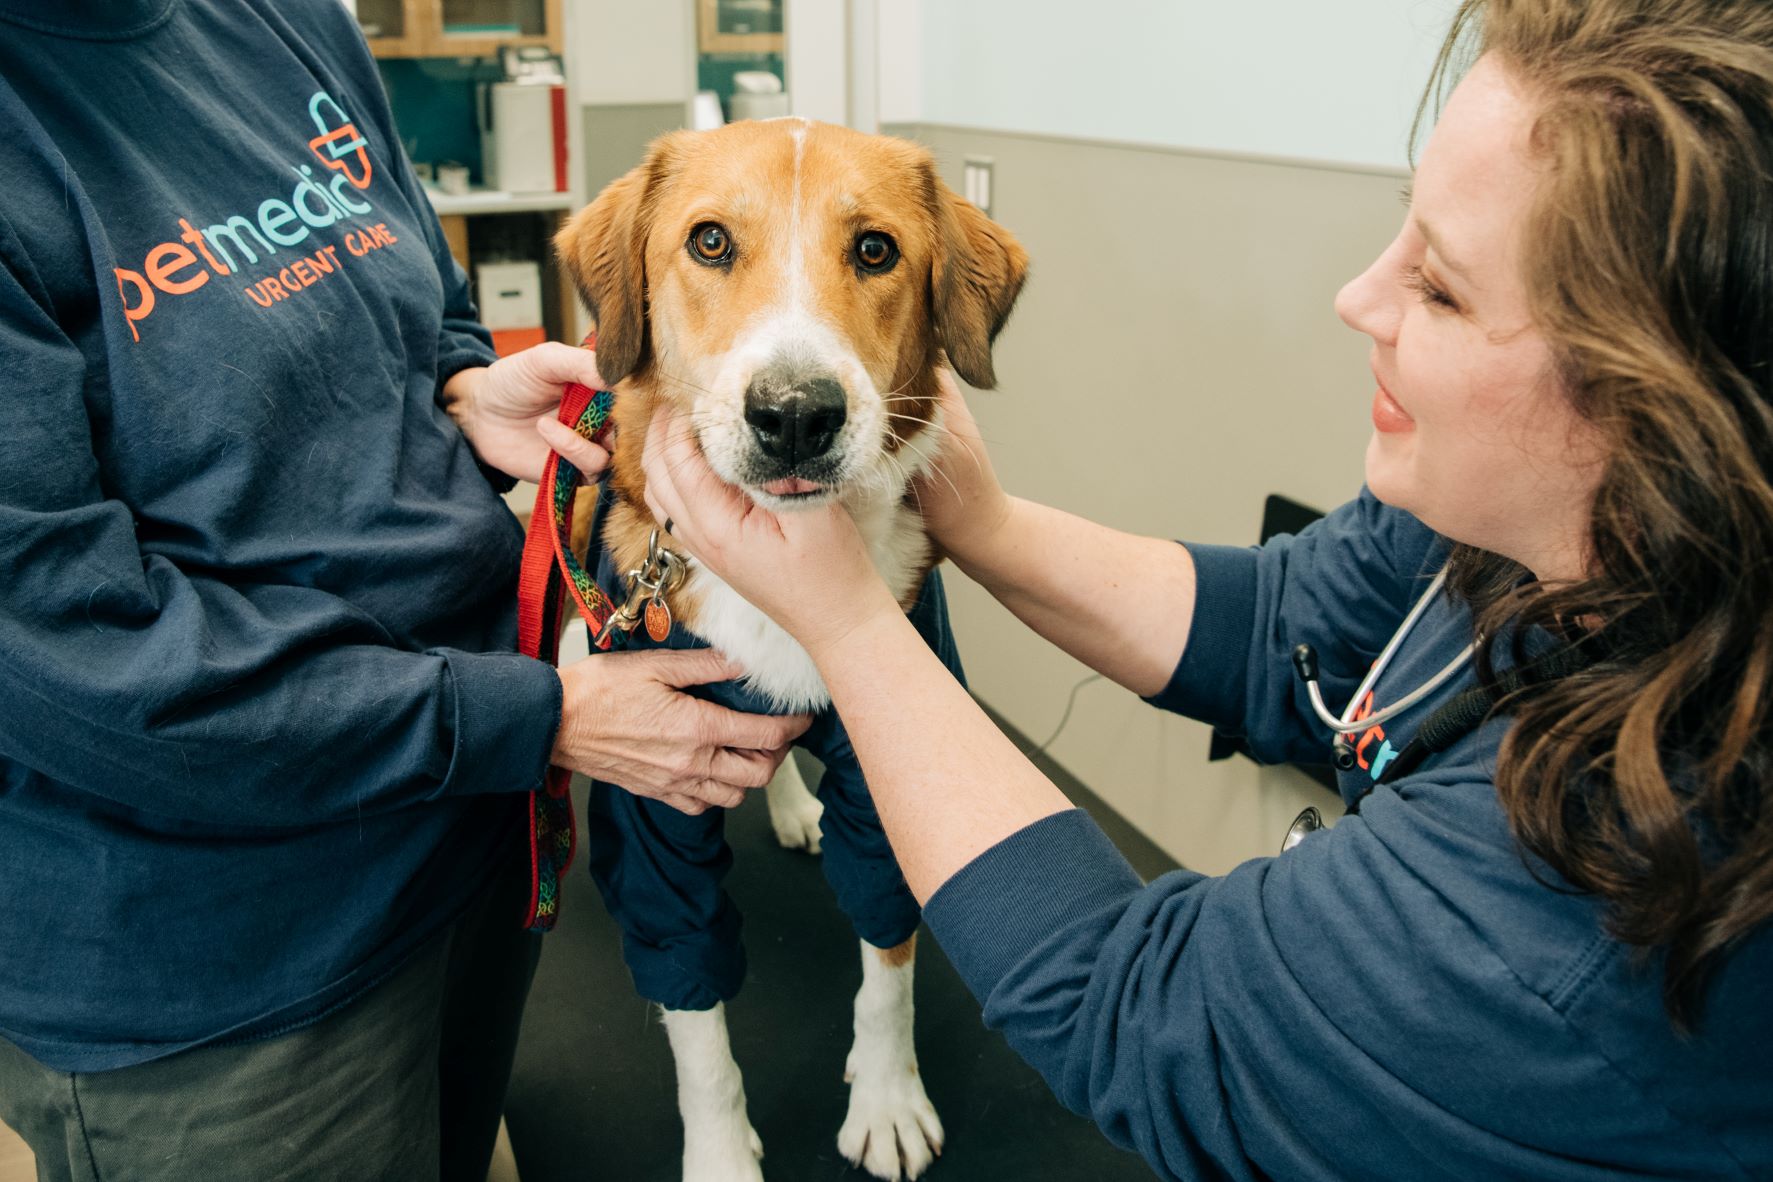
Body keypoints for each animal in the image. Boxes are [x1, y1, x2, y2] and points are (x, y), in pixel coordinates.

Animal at [553, 113, 1028, 1182]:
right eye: (709, 242)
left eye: (876, 251)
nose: (798, 415)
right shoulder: (654, 822)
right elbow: (696, 1019)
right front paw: (722, 1154)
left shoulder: (889, 779)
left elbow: (887, 967)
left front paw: (887, 1098)